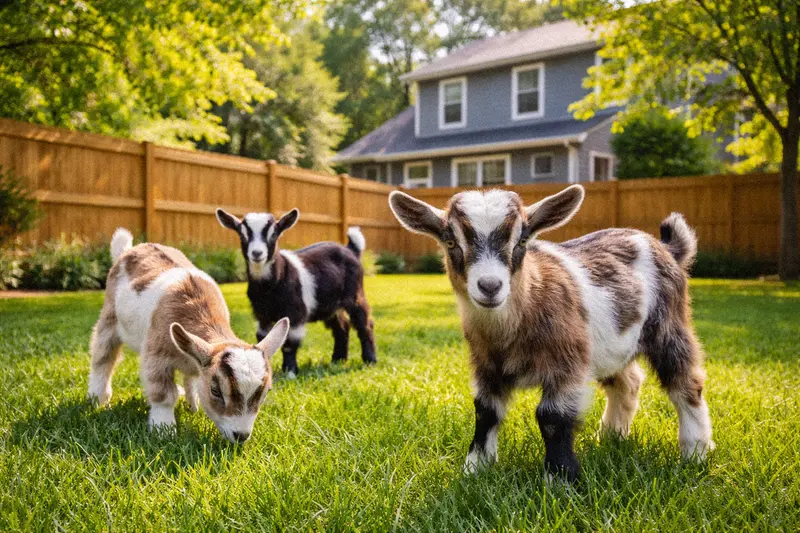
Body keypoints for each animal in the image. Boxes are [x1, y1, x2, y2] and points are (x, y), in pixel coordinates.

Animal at [88, 228, 290, 443]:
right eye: (216, 391)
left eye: (265, 392)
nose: (241, 435)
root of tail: (128, 250)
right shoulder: (156, 355)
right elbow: (163, 395)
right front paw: (164, 430)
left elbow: (191, 377)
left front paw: (193, 406)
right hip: (109, 318)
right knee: (103, 355)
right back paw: (97, 398)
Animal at [216, 208, 376, 377]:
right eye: (242, 234)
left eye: (273, 234)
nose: (257, 253)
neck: (270, 286)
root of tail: (351, 249)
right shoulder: (262, 315)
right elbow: (263, 337)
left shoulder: (295, 312)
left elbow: (290, 342)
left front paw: (290, 371)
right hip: (331, 306)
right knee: (342, 327)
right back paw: (337, 360)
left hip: (355, 295)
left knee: (364, 323)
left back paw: (370, 360)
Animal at [389, 185, 713, 482]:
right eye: (450, 241)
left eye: (521, 240)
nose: (490, 286)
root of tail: (667, 248)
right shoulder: (486, 365)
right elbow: (485, 411)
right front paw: (475, 468)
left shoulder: (567, 362)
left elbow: (552, 417)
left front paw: (560, 478)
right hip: (608, 345)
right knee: (627, 382)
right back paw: (611, 436)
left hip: (669, 327)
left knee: (686, 382)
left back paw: (695, 451)